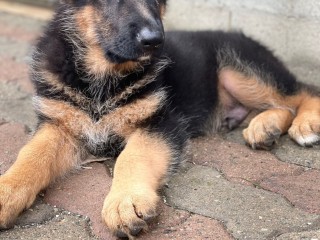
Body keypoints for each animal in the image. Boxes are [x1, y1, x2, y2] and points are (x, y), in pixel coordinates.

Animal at [0, 0, 318, 237]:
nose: (155, 41)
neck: (102, 74)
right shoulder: (59, 125)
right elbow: (30, 155)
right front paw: (6, 191)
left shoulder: (159, 122)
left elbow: (132, 157)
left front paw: (126, 200)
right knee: (283, 105)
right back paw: (265, 127)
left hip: (241, 68)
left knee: (303, 92)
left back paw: (305, 124)